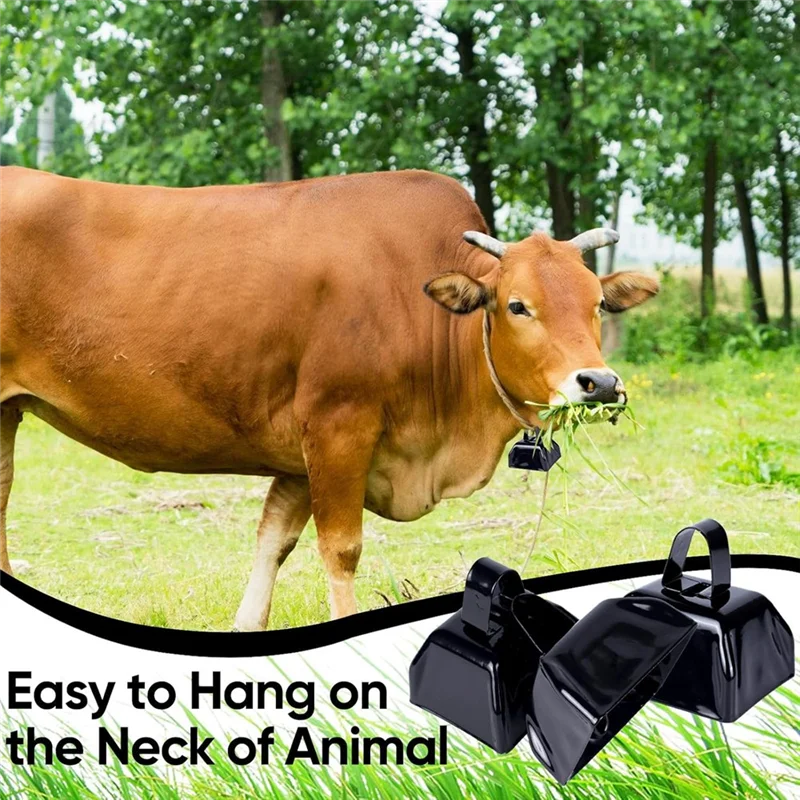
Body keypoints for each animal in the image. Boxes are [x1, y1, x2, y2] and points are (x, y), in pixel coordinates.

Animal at [0, 166, 658, 630]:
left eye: (596, 303)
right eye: (518, 305)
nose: (598, 382)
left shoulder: (299, 454)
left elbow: (274, 540)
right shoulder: (338, 427)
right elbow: (340, 549)